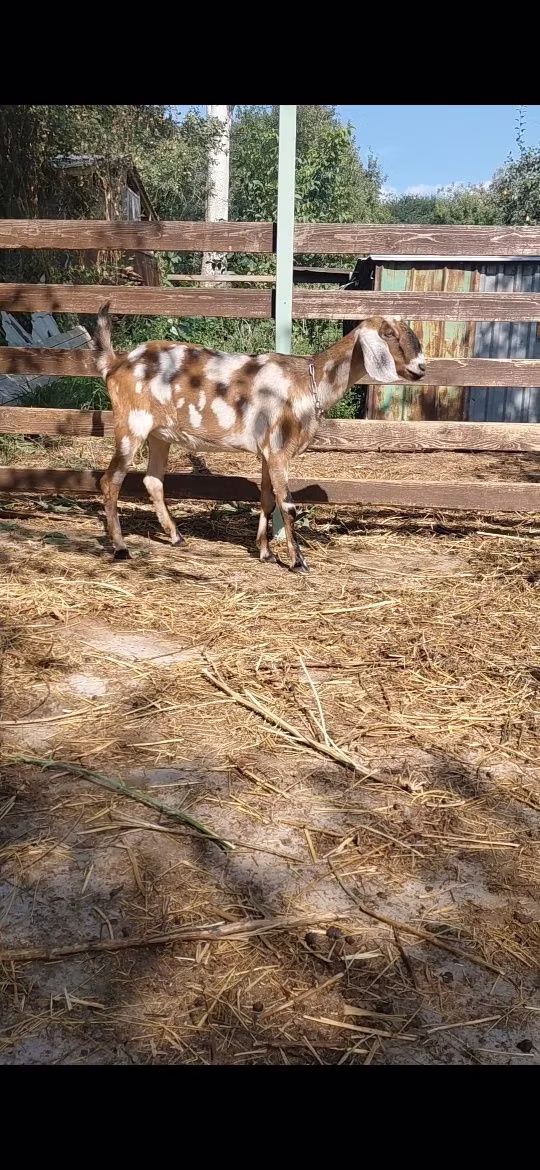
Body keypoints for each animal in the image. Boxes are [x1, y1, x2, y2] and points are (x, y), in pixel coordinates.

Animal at [93, 305, 425, 571]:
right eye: (389, 333)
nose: (421, 368)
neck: (308, 382)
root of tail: (116, 362)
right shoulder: (278, 450)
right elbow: (287, 505)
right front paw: (298, 561)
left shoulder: (267, 451)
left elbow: (266, 501)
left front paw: (265, 553)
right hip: (131, 424)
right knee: (111, 481)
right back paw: (121, 548)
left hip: (159, 434)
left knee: (153, 481)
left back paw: (176, 536)